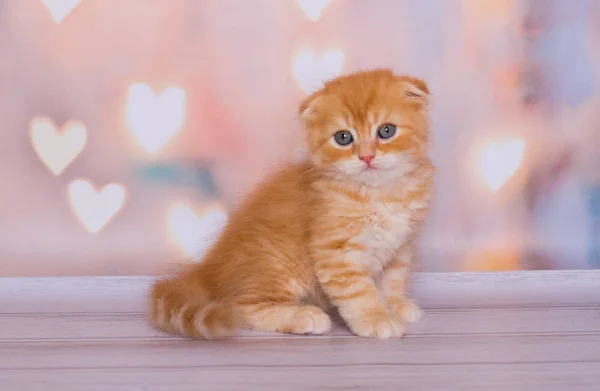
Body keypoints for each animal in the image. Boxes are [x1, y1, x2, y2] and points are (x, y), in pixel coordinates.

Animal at [148, 69, 434, 340]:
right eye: (343, 138)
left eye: (386, 131)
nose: (367, 157)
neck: (381, 192)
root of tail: (207, 270)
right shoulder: (335, 253)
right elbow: (359, 293)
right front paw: (376, 319)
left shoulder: (399, 247)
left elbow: (392, 280)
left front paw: (395, 305)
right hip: (277, 267)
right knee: (239, 306)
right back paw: (305, 317)